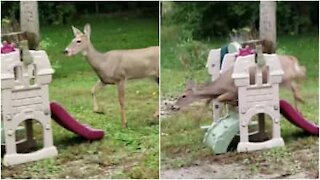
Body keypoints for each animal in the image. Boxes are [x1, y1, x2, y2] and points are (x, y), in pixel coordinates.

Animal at [172, 54, 304, 111]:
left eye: (183, 96)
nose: (173, 106)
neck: (219, 87)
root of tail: (291, 58)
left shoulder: (233, 90)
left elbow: (220, 98)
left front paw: (235, 102)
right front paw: (234, 103)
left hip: (284, 77)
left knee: (297, 80)